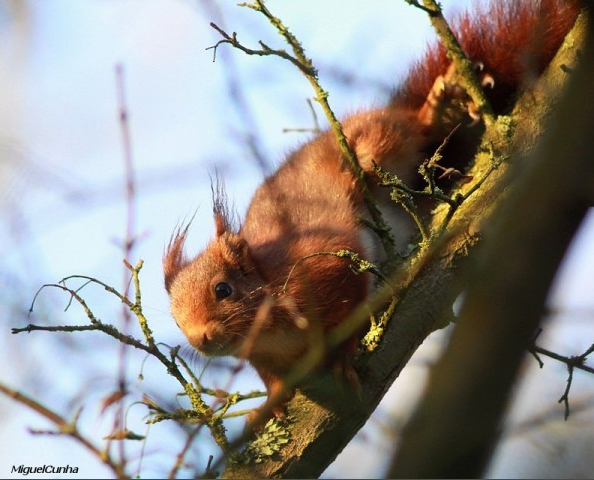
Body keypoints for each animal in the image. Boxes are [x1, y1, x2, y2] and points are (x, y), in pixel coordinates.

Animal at [162, 0, 580, 426]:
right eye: (174, 316)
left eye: (223, 289)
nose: (200, 337)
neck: (270, 330)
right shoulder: (266, 358)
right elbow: (274, 380)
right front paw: (270, 404)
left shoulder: (327, 269)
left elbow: (349, 312)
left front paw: (343, 360)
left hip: (377, 144)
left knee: (410, 133)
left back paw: (439, 109)